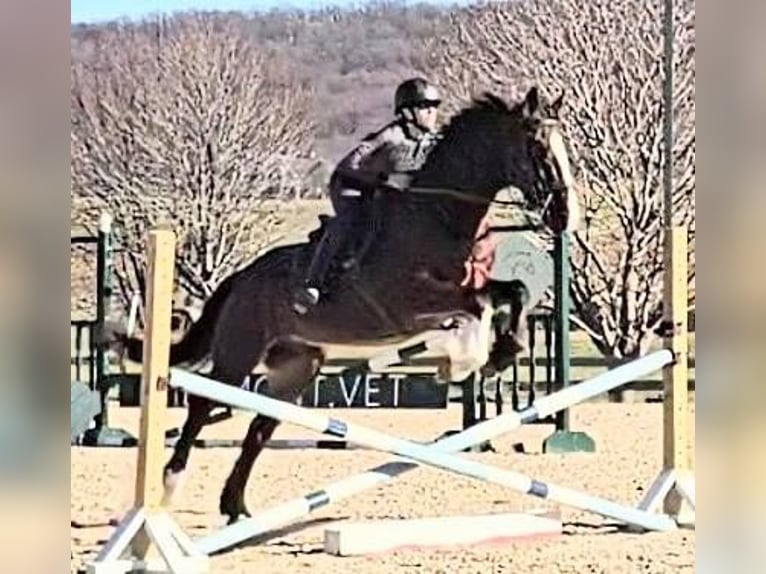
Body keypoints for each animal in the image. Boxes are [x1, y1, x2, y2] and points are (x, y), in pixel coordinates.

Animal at [115, 86, 581, 524]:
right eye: (538, 149)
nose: (564, 216)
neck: (440, 215)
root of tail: (241, 280)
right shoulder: (411, 300)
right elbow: (479, 306)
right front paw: (470, 359)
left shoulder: (470, 287)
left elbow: (513, 291)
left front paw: (501, 353)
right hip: (237, 352)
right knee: (201, 406)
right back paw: (169, 486)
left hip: (298, 367)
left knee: (260, 426)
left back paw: (236, 507)